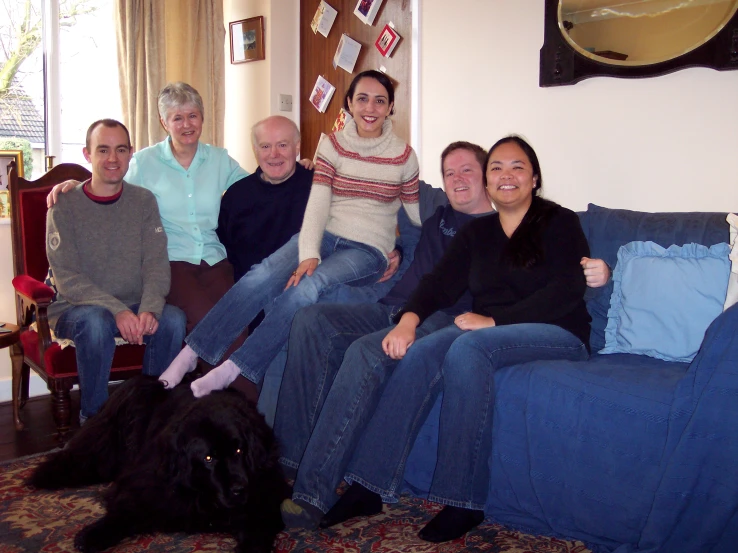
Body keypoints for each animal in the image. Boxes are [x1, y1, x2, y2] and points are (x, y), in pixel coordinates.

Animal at [29, 374, 288, 548]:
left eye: (239, 450)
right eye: (208, 459)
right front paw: (93, 535)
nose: (238, 490)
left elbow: (258, 526)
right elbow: (126, 511)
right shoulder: (147, 483)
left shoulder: (265, 490)